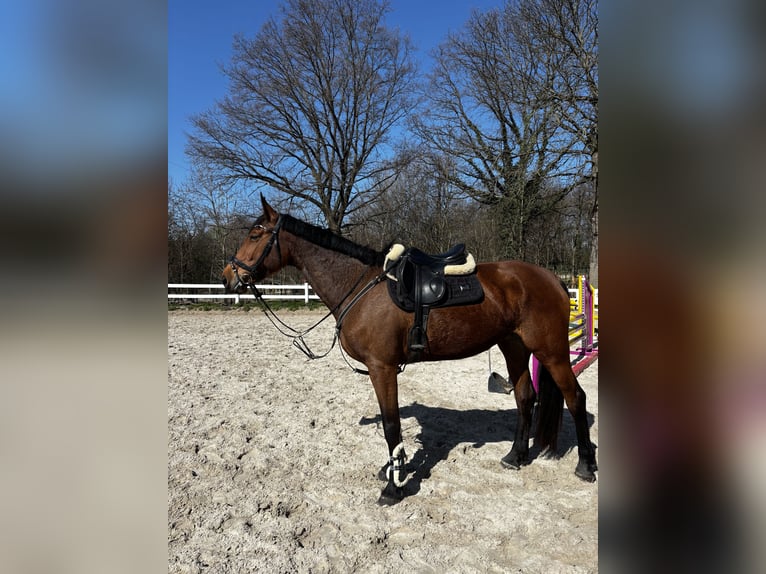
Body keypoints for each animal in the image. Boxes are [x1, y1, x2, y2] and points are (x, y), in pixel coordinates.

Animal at [222, 195, 597, 505]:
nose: (228, 276)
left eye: (255, 234)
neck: (360, 285)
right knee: (525, 397)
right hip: (514, 346)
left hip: (550, 351)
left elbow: (391, 425)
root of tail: (551, 278)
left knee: (575, 398)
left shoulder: (382, 368)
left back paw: (585, 465)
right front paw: (392, 470)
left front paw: (394, 485)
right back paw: (515, 457)